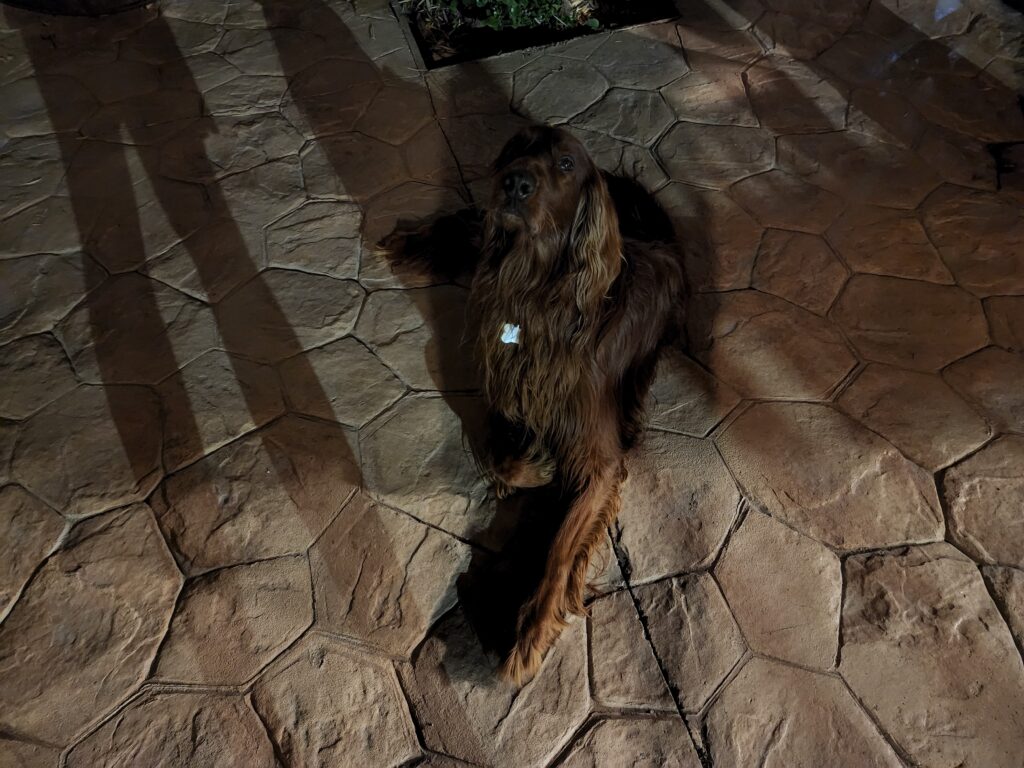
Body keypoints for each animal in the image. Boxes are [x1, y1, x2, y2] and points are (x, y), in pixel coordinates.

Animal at [378, 125, 688, 684]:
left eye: (566, 164)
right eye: (519, 145)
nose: (515, 182)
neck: (538, 295)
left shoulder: (599, 459)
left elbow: (561, 543)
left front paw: (531, 628)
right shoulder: (504, 394)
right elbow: (506, 458)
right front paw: (537, 470)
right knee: (472, 224)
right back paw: (411, 243)